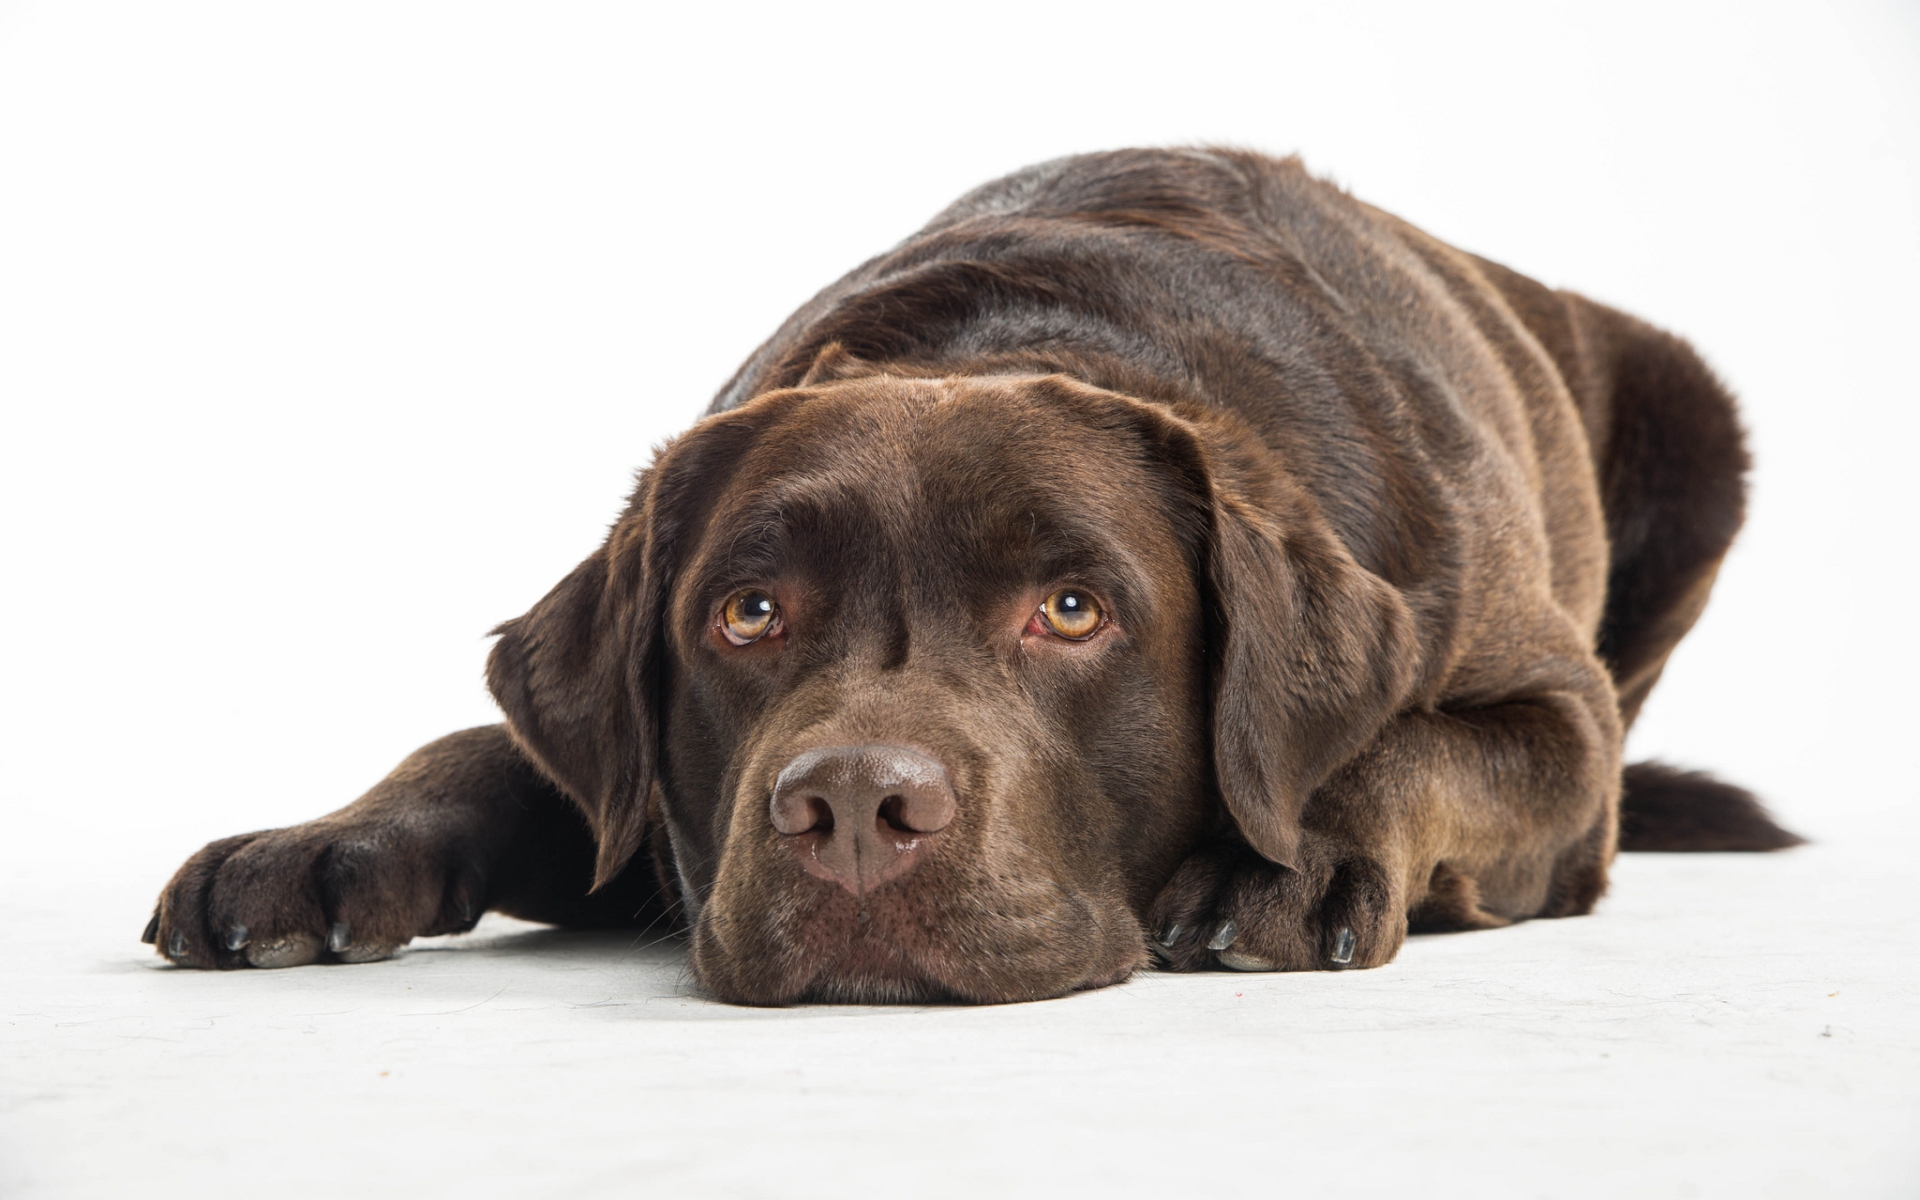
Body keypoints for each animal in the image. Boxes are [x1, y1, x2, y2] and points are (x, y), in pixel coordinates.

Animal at [139, 147, 1797, 998]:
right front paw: (309, 845)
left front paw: (1285, 852)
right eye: (749, 614)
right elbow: (489, 746)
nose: (853, 810)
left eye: (1073, 610)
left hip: (1696, 428)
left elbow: (1402, 755)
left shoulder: (1561, 744)